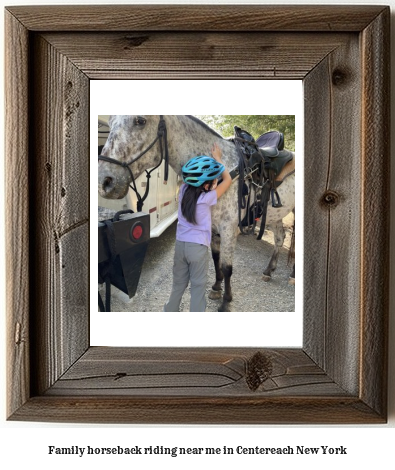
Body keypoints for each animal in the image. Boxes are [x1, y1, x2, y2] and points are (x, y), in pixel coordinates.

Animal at [98, 114, 296, 312]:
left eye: (140, 120)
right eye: (110, 122)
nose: (103, 182)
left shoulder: (229, 229)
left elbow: (227, 267)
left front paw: (226, 301)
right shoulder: (214, 228)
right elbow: (216, 260)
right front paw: (216, 288)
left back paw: (292, 275)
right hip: (276, 214)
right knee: (280, 238)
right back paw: (269, 271)